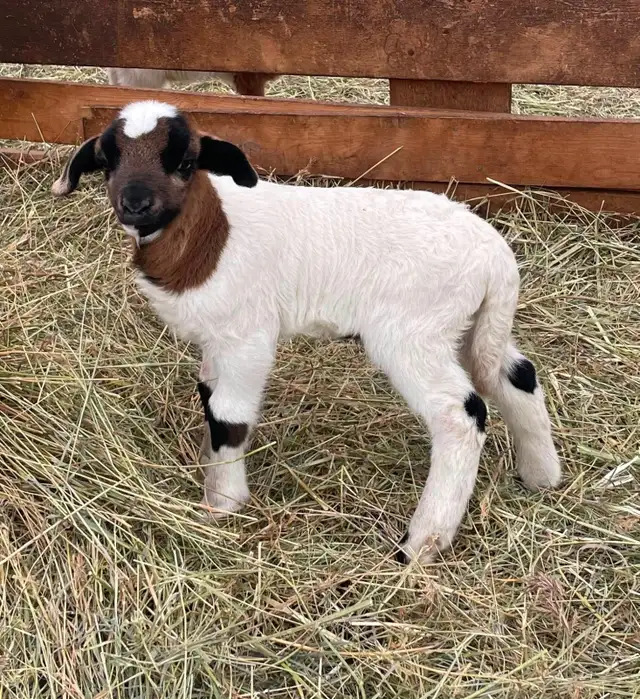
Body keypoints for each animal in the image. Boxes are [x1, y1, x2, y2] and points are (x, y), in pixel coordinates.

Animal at [52, 100, 562, 563]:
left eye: (185, 162)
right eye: (107, 161)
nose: (136, 203)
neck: (208, 234)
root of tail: (496, 257)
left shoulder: (247, 336)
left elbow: (229, 416)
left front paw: (224, 504)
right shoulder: (217, 339)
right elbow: (207, 398)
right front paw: (209, 473)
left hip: (413, 333)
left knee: (462, 415)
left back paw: (420, 544)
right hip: (471, 326)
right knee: (517, 376)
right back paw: (540, 477)